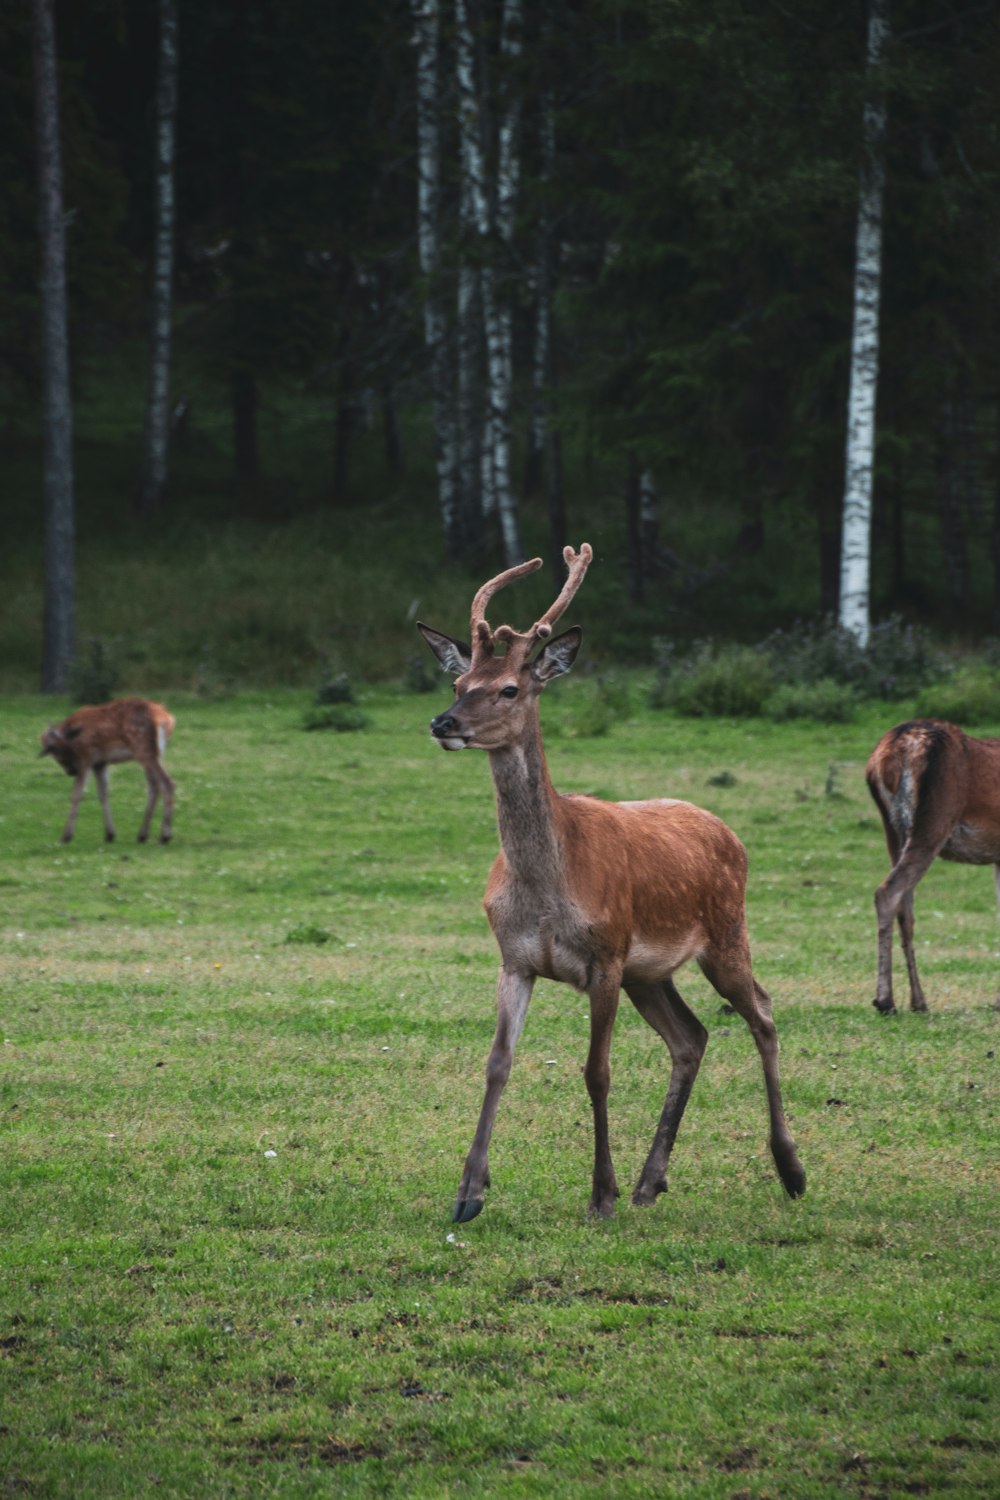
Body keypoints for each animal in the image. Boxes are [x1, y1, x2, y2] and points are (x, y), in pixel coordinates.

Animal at [40, 693, 176, 846]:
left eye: (54, 750)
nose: (71, 771)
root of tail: (166, 718)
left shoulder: (86, 758)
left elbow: (77, 794)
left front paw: (66, 836)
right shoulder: (100, 762)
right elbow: (103, 793)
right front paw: (109, 834)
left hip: (142, 747)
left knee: (167, 783)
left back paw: (164, 836)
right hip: (156, 752)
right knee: (154, 785)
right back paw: (143, 835)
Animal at [413, 546, 803, 1224]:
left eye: (510, 687)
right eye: (459, 684)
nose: (444, 721)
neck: (548, 889)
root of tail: (729, 832)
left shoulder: (606, 955)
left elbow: (597, 1071)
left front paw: (600, 1194)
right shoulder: (514, 959)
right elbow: (496, 1064)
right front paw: (468, 1193)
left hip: (724, 933)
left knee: (763, 1012)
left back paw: (790, 1168)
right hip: (652, 972)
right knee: (692, 1037)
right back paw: (652, 1181)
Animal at [863, 711, 1000, 1008]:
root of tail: (889, 756)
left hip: (893, 830)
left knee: (905, 908)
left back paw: (917, 1000)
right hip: (935, 818)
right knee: (888, 891)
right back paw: (885, 1000)